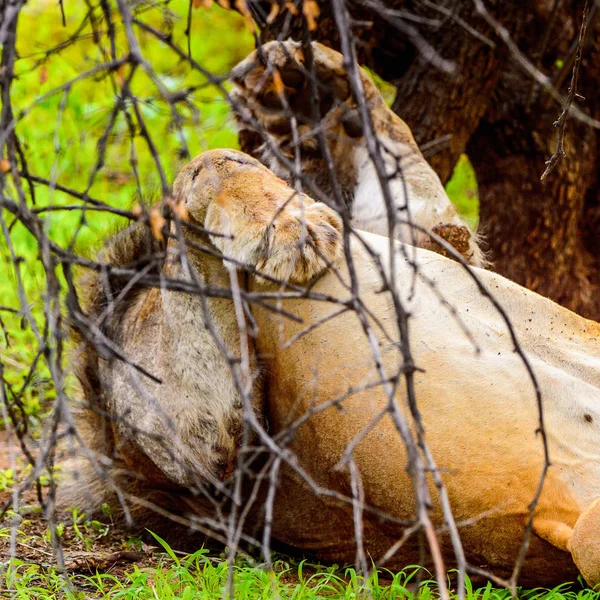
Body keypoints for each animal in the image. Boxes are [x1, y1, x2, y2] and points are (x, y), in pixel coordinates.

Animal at [59, 42, 600, 584]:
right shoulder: (202, 453)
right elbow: (206, 164)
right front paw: (288, 228)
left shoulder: (432, 239)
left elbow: (416, 193)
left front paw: (312, 95)